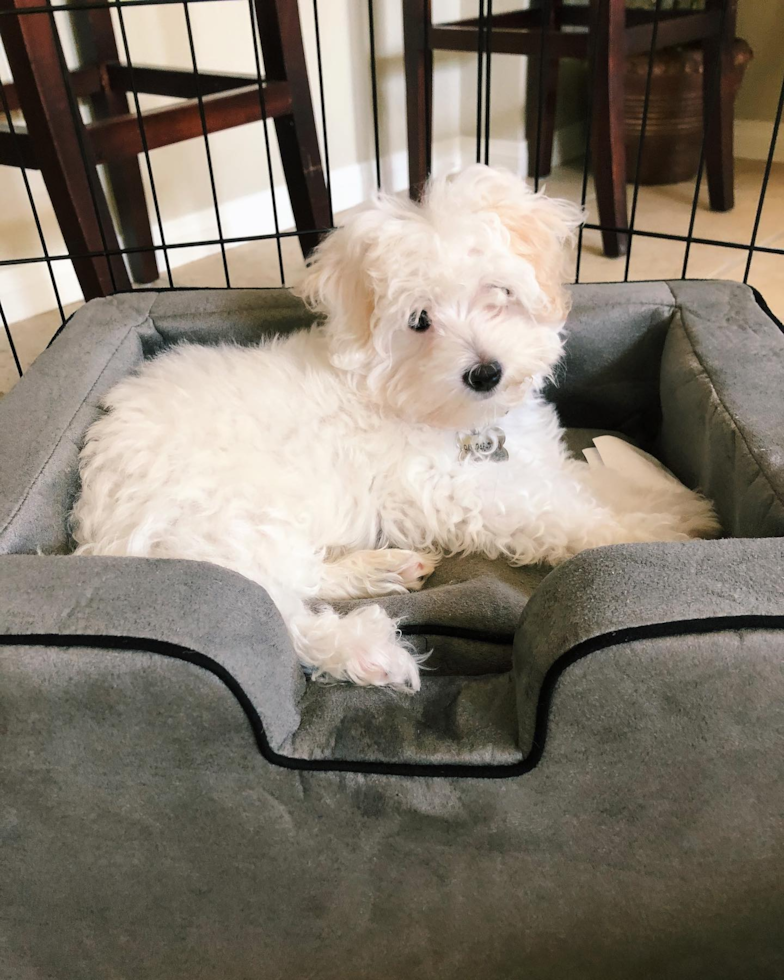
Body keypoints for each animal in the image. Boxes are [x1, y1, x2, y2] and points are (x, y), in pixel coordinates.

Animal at [70, 167, 720, 688]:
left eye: (498, 293)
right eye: (420, 320)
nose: (486, 372)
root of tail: (102, 529)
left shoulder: (531, 456)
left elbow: (581, 483)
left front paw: (672, 506)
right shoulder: (449, 492)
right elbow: (554, 512)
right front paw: (646, 533)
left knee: (300, 576)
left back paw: (380, 568)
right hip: (228, 518)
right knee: (275, 608)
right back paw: (365, 649)